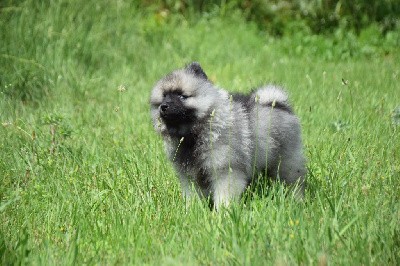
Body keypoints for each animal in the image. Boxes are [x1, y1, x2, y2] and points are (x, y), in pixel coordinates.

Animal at [150, 62, 306, 210]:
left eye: (182, 96)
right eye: (164, 97)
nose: (164, 106)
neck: (192, 135)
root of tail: (277, 104)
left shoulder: (225, 171)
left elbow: (225, 196)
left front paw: (224, 213)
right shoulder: (189, 176)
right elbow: (192, 195)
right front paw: (192, 210)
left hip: (286, 163)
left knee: (294, 182)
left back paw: (296, 201)